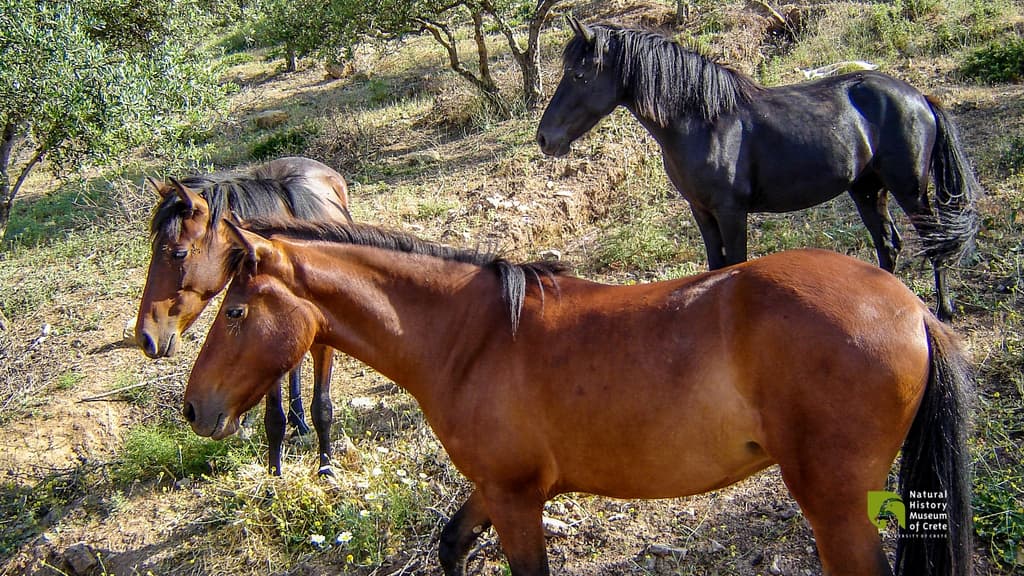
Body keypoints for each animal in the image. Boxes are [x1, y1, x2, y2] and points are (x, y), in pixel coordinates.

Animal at [136, 156, 352, 475]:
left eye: (178, 253)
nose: (146, 337)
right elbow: (274, 417)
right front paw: (275, 473)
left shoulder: (324, 346)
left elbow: (322, 407)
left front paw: (326, 466)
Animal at [180, 218, 970, 573]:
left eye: (234, 311)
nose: (194, 409)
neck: (472, 338)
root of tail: (912, 309)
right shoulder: (497, 488)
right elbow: (450, 544)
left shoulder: (516, 497)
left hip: (834, 504)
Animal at [532, 20, 978, 319]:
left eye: (578, 74)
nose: (544, 139)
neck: (703, 121)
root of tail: (919, 97)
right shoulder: (702, 212)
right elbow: (715, 267)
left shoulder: (732, 212)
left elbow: (734, 266)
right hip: (868, 188)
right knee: (888, 245)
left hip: (910, 189)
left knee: (934, 243)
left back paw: (944, 310)